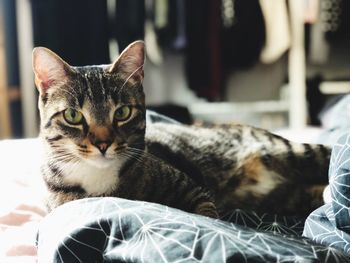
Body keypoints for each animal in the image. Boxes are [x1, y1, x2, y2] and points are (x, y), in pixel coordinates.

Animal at [32, 40, 330, 219]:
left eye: (122, 112)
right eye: (73, 115)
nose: (103, 143)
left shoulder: (192, 188)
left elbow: (208, 216)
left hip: (287, 151)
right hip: (282, 198)